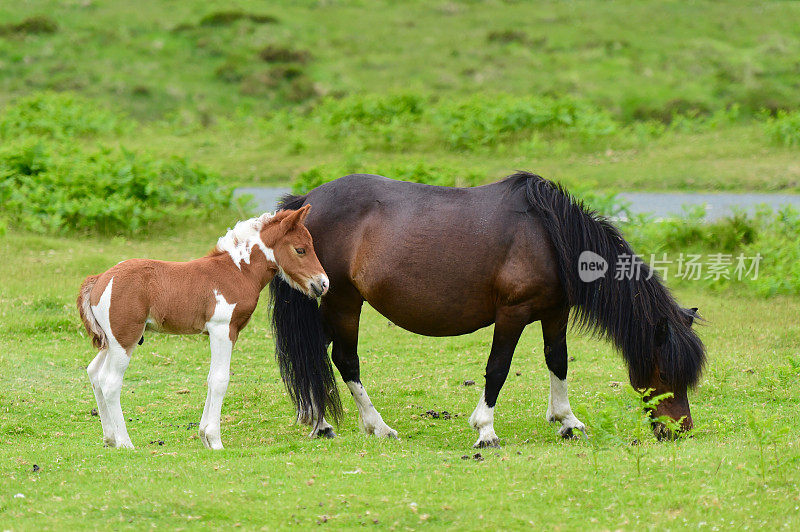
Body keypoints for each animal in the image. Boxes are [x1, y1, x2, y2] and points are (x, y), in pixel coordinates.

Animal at [75, 206, 324, 450]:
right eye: (300, 250)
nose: (322, 284)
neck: (237, 272)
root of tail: (100, 279)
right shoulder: (222, 329)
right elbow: (220, 380)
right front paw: (215, 440)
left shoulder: (223, 332)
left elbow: (212, 377)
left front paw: (204, 436)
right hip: (125, 338)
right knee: (110, 382)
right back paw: (125, 443)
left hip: (111, 341)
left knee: (94, 373)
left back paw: (110, 438)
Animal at [270, 172, 708, 446]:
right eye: (664, 372)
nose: (680, 431)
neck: (550, 236)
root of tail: (305, 202)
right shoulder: (512, 313)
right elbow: (498, 368)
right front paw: (486, 431)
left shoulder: (555, 312)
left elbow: (558, 361)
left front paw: (567, 422)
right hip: (343, 301)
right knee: (344, 360)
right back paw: (377, 427)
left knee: (314, 356)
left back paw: (320, 421)